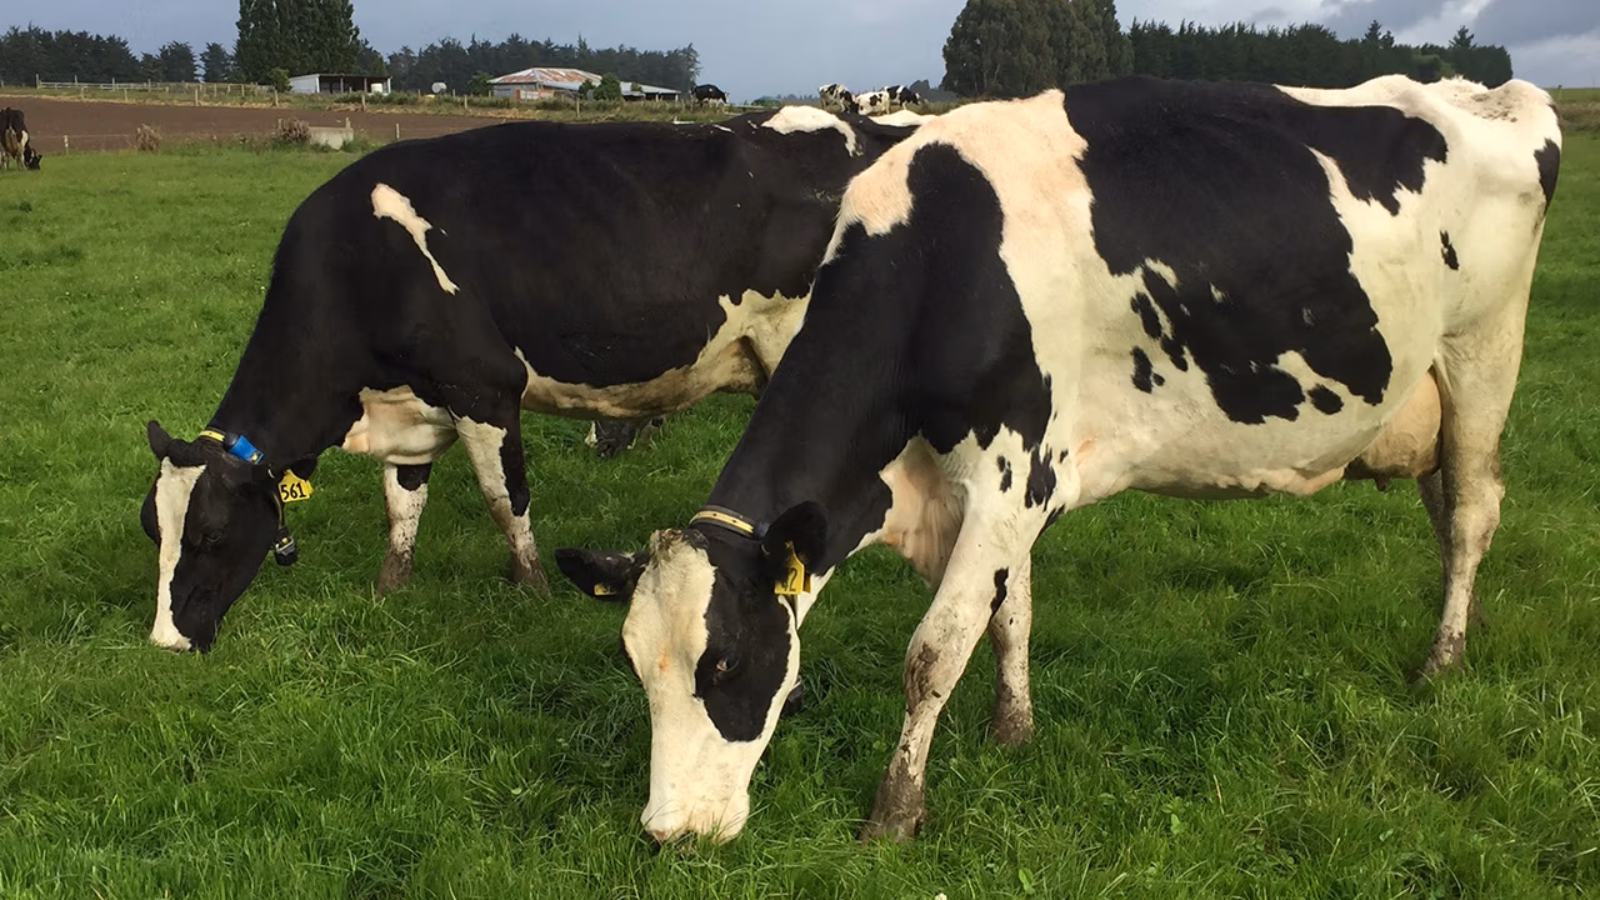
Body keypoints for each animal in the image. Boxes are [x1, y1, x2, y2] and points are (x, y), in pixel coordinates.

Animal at [140, 107, 923, 652]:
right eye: (154, 530)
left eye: (211, 534)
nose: (166, 643)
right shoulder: (414, 406)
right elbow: (402, 506)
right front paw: (391, 589)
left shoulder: (483, 389)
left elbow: (504, 499)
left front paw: (534, 590)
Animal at [555, 75, 1562, 844]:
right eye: (636, 666)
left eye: (725, 666)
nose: (669, 833)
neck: (941, 259)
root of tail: (1485, 92)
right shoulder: (1005, 492)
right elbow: (1011, 615)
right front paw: (1014, 731)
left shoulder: (1009, 475)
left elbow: (935, 650)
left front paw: (895, 812)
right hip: (1426, 402)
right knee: (1448, 508)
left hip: (1483, 356)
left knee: (1474, 512)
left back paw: (1441, 662)